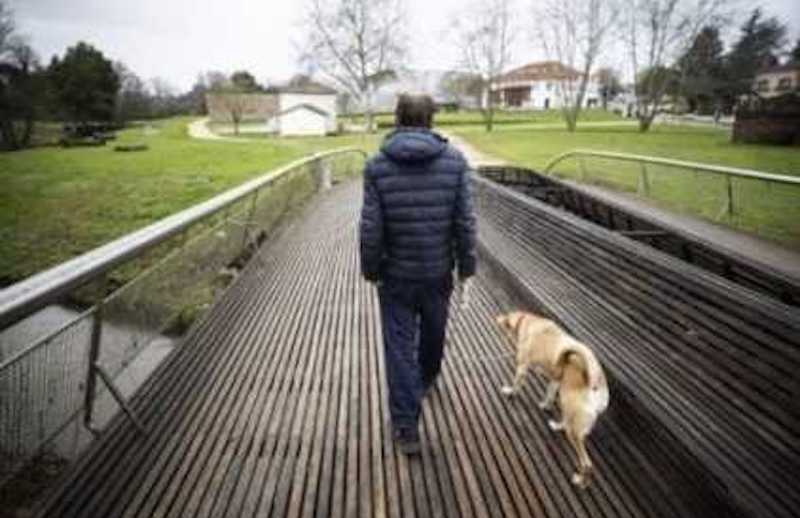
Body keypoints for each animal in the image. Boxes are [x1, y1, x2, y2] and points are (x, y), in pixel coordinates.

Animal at [496, 310, 608, 490]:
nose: (497, 319)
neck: (527, 320)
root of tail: (596, 379)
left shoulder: (522, 367)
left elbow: (516, 384)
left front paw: (510, 392)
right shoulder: (555, 380)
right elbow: (549, 395)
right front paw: (545, 405)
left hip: (571, 411)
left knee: (587, 464)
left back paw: (580, 481)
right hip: (568, 404)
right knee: (567, 421)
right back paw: (557, 425)